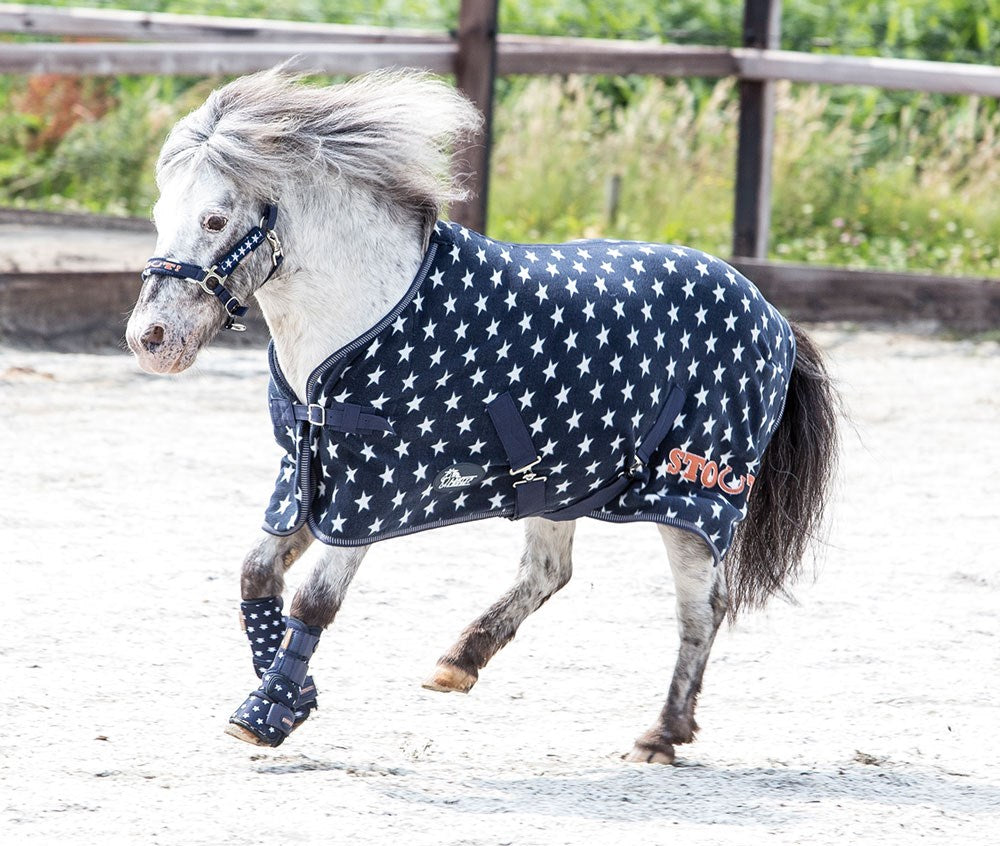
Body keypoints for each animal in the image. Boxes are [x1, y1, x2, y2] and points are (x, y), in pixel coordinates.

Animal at [125, 69, 839, 764]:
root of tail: (774, 316)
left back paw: (661, 734)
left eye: (214, 219)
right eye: (159, 213)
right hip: (562, 480)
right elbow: (256, 575)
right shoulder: (305, 481)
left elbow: (316, 599)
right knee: (551, 572)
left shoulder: (371, 496)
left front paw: (266, 714)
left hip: (692, 497)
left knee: (702, 608)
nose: (150, 339)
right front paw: (293, 696)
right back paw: (459, 662)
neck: (365, 322)